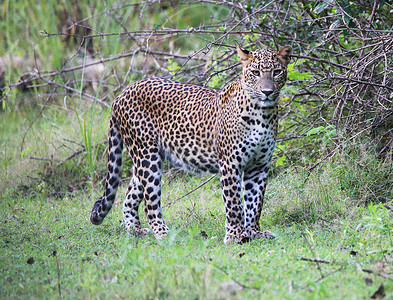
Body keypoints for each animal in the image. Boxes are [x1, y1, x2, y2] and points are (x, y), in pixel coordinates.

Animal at [89, 46, 290, 244]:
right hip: (146, 155)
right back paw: (163, 234)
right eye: (256, 73)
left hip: (147, 158)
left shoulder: (259, 165)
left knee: (130, 196)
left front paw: (254, 232)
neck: (263, 114)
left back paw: (135, 231)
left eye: (277, 72)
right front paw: (234, 236)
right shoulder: (230, 163)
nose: (267, 92)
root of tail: (122, 94)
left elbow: (255, 203)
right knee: (150, 202)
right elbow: (234, 203)